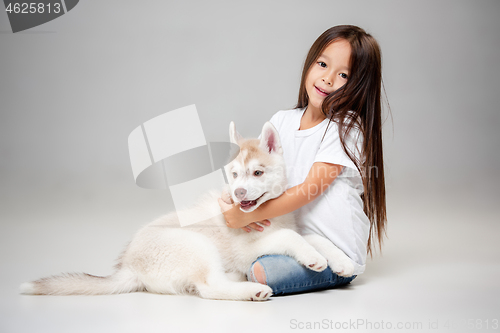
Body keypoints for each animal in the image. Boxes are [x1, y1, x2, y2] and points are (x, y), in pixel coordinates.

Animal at [20, 120, 356, 300]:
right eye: (234, 174)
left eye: (257, 173)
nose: (238, 194)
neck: (266, 213)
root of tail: (128, 266)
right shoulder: (248, 248)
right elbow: (291, 238)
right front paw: (314, 258)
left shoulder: (281, 229)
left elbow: (315, 238)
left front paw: (341, 261)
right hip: (197, 245)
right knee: (207, 287)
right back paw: (250, 290)